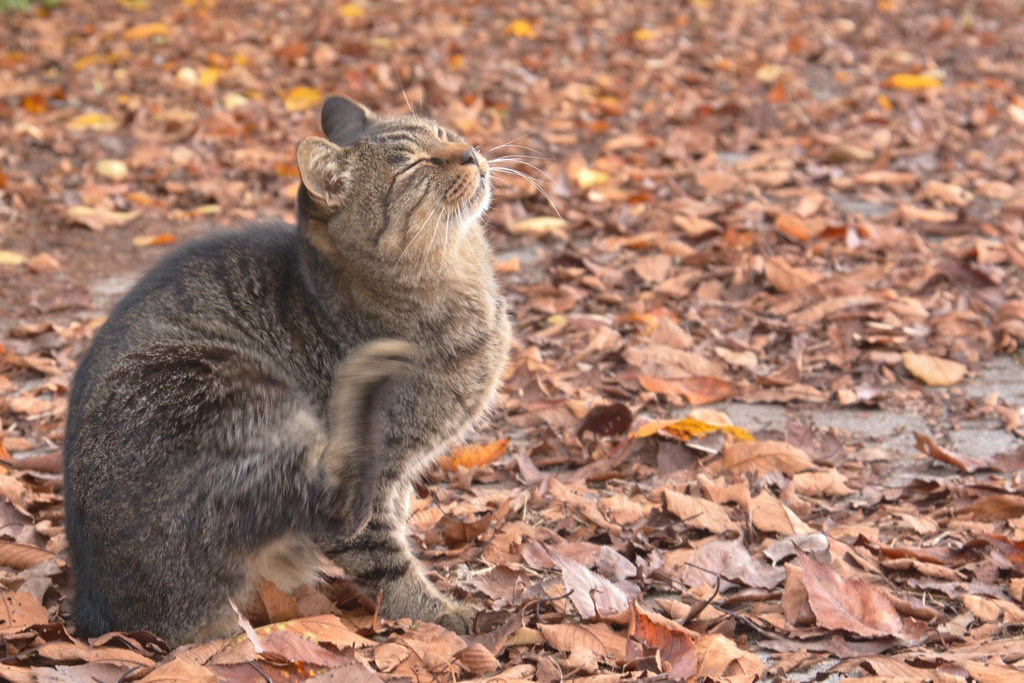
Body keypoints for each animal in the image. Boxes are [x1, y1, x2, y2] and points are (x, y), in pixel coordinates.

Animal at [62, 96, 512, 647]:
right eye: (413, 166)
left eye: (444, 134)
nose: (469, 151)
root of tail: (98, 614)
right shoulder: (385, 475)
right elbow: (385, 562)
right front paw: (439, 615)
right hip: (225, 388)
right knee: (333, 500)